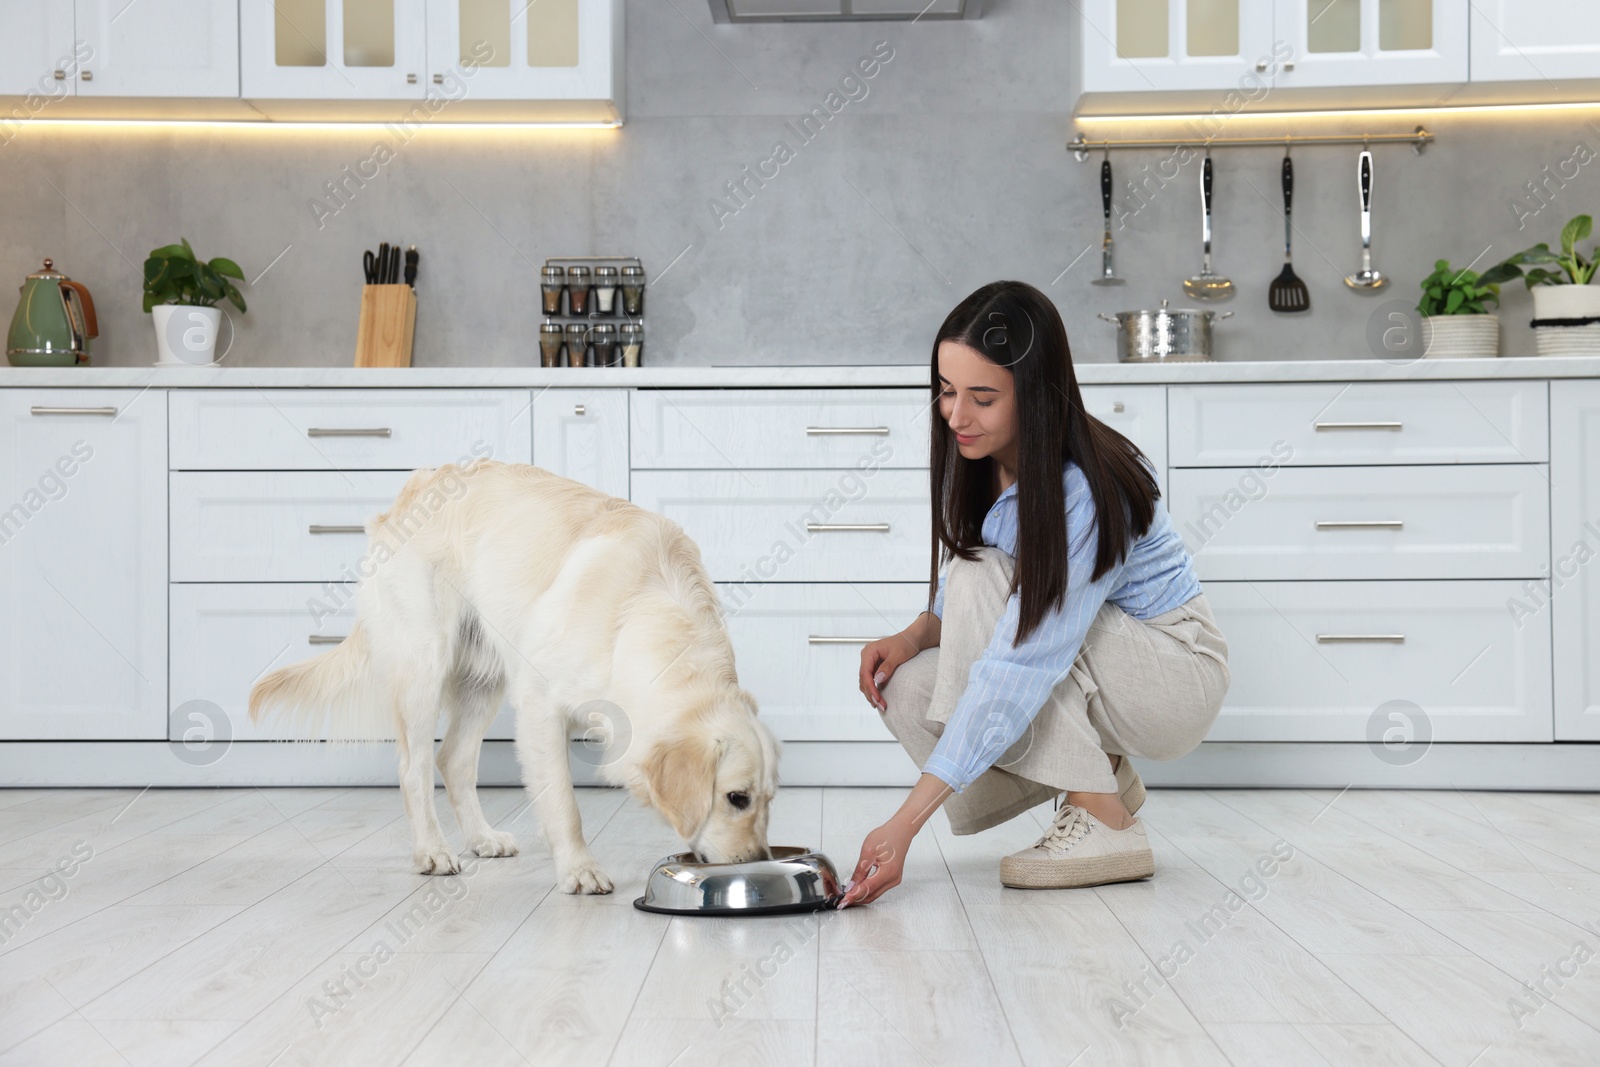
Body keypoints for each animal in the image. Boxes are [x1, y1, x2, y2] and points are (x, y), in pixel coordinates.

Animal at [243, 460, 780, 895]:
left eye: (769, 799)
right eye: (736, 798)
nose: (759, 862)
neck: (644, 609)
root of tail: (411, 493)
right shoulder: (541, 705)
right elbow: (563, 802)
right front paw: (579, 870)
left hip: (484, 678)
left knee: (454, 759)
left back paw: (481, 839)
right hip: (424, 664)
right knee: (415, 768)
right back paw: (432, 851)